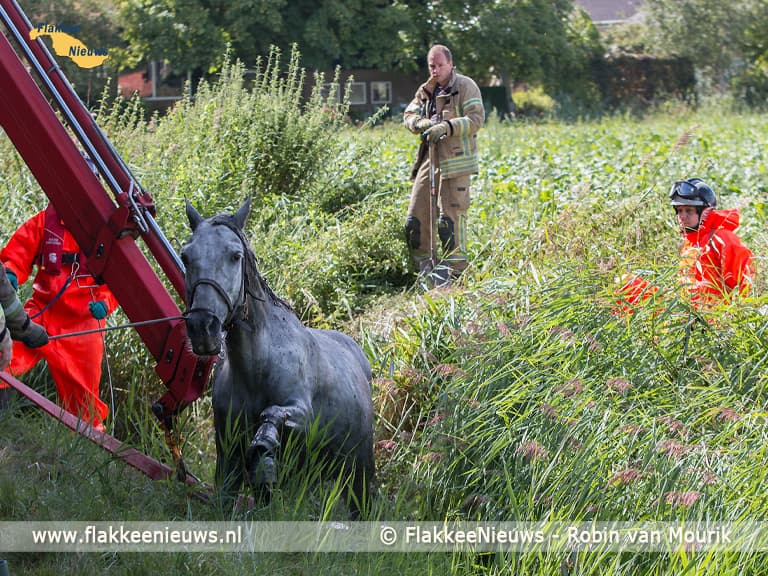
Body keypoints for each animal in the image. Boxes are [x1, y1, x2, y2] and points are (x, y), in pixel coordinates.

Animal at [181, 198, 375, 517]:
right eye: (186, 256)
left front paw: (265, 448)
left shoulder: (300, 411)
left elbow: (271, 414)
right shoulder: (228, 454)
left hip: (358, 471)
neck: (256, 366)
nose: (202, 327)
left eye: (235, 255)